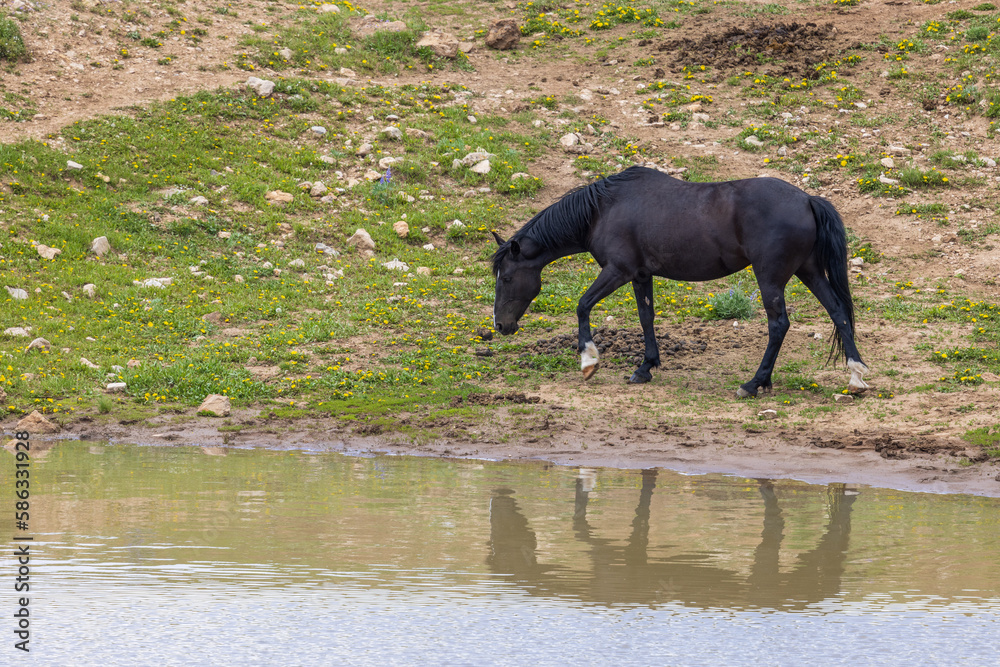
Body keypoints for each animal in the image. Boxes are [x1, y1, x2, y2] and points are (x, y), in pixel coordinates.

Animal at [490, 166, 869, 398]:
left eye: (506, 277)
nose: (501, 326)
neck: (603, 210)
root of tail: (807, 199)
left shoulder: (618, 271)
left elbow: (582, 306)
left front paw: (589, 362)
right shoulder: (641, 275)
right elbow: (646, 318)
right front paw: (646, 367)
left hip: (771, 277)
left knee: (779, 325)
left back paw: (754, 383)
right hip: (808, 271)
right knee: (838, 313)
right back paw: (855, 375)